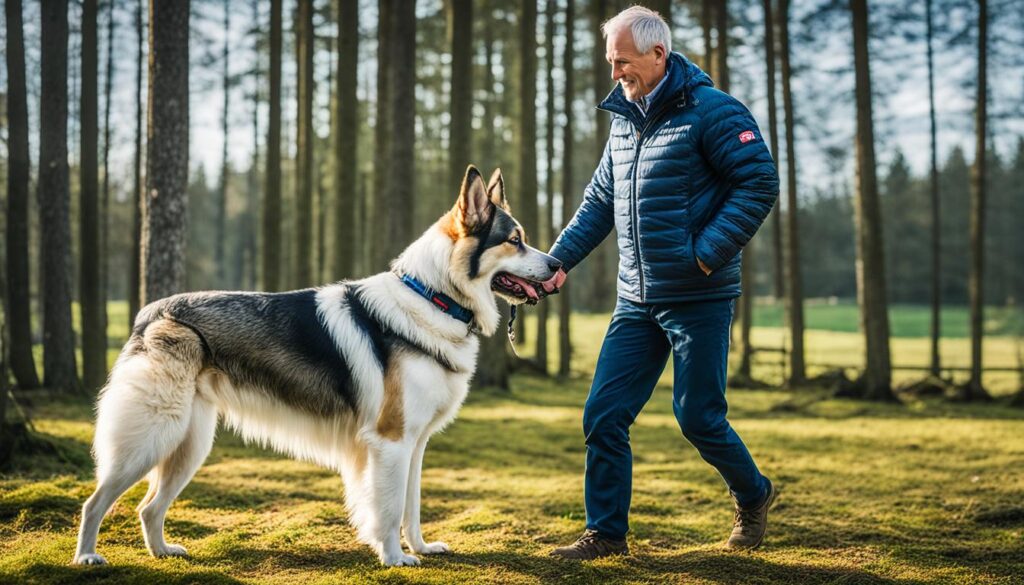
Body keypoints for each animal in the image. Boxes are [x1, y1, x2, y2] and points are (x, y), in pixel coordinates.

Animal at [74, 165, 561, 569]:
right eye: (514, 240)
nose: (558, 263)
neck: (434, 296)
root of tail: (152, 313)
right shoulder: (390, 442)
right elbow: (387, 509)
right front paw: (395, 558)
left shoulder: (415, 446)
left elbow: (412, 506)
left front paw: (421, 547)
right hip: (152, 437)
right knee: (95, 502)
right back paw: (87, 557)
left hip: (189, 444)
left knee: (148, 507)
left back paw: (161, 552)